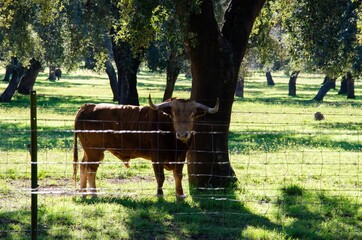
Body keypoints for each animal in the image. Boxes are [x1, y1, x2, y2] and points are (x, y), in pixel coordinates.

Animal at [72, 94, 216, 198]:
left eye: (192, 114)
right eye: (174, 114)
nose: (183, 134)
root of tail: (87, 106)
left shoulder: (181, 156)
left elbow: (178, 175)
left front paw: (180, 195)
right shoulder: (157, 157)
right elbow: (160, 177)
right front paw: (159, 194)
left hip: (88, 151)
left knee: (83, 166)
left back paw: (83, 192)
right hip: (95, 152)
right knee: (91, 169)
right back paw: (93, 193)